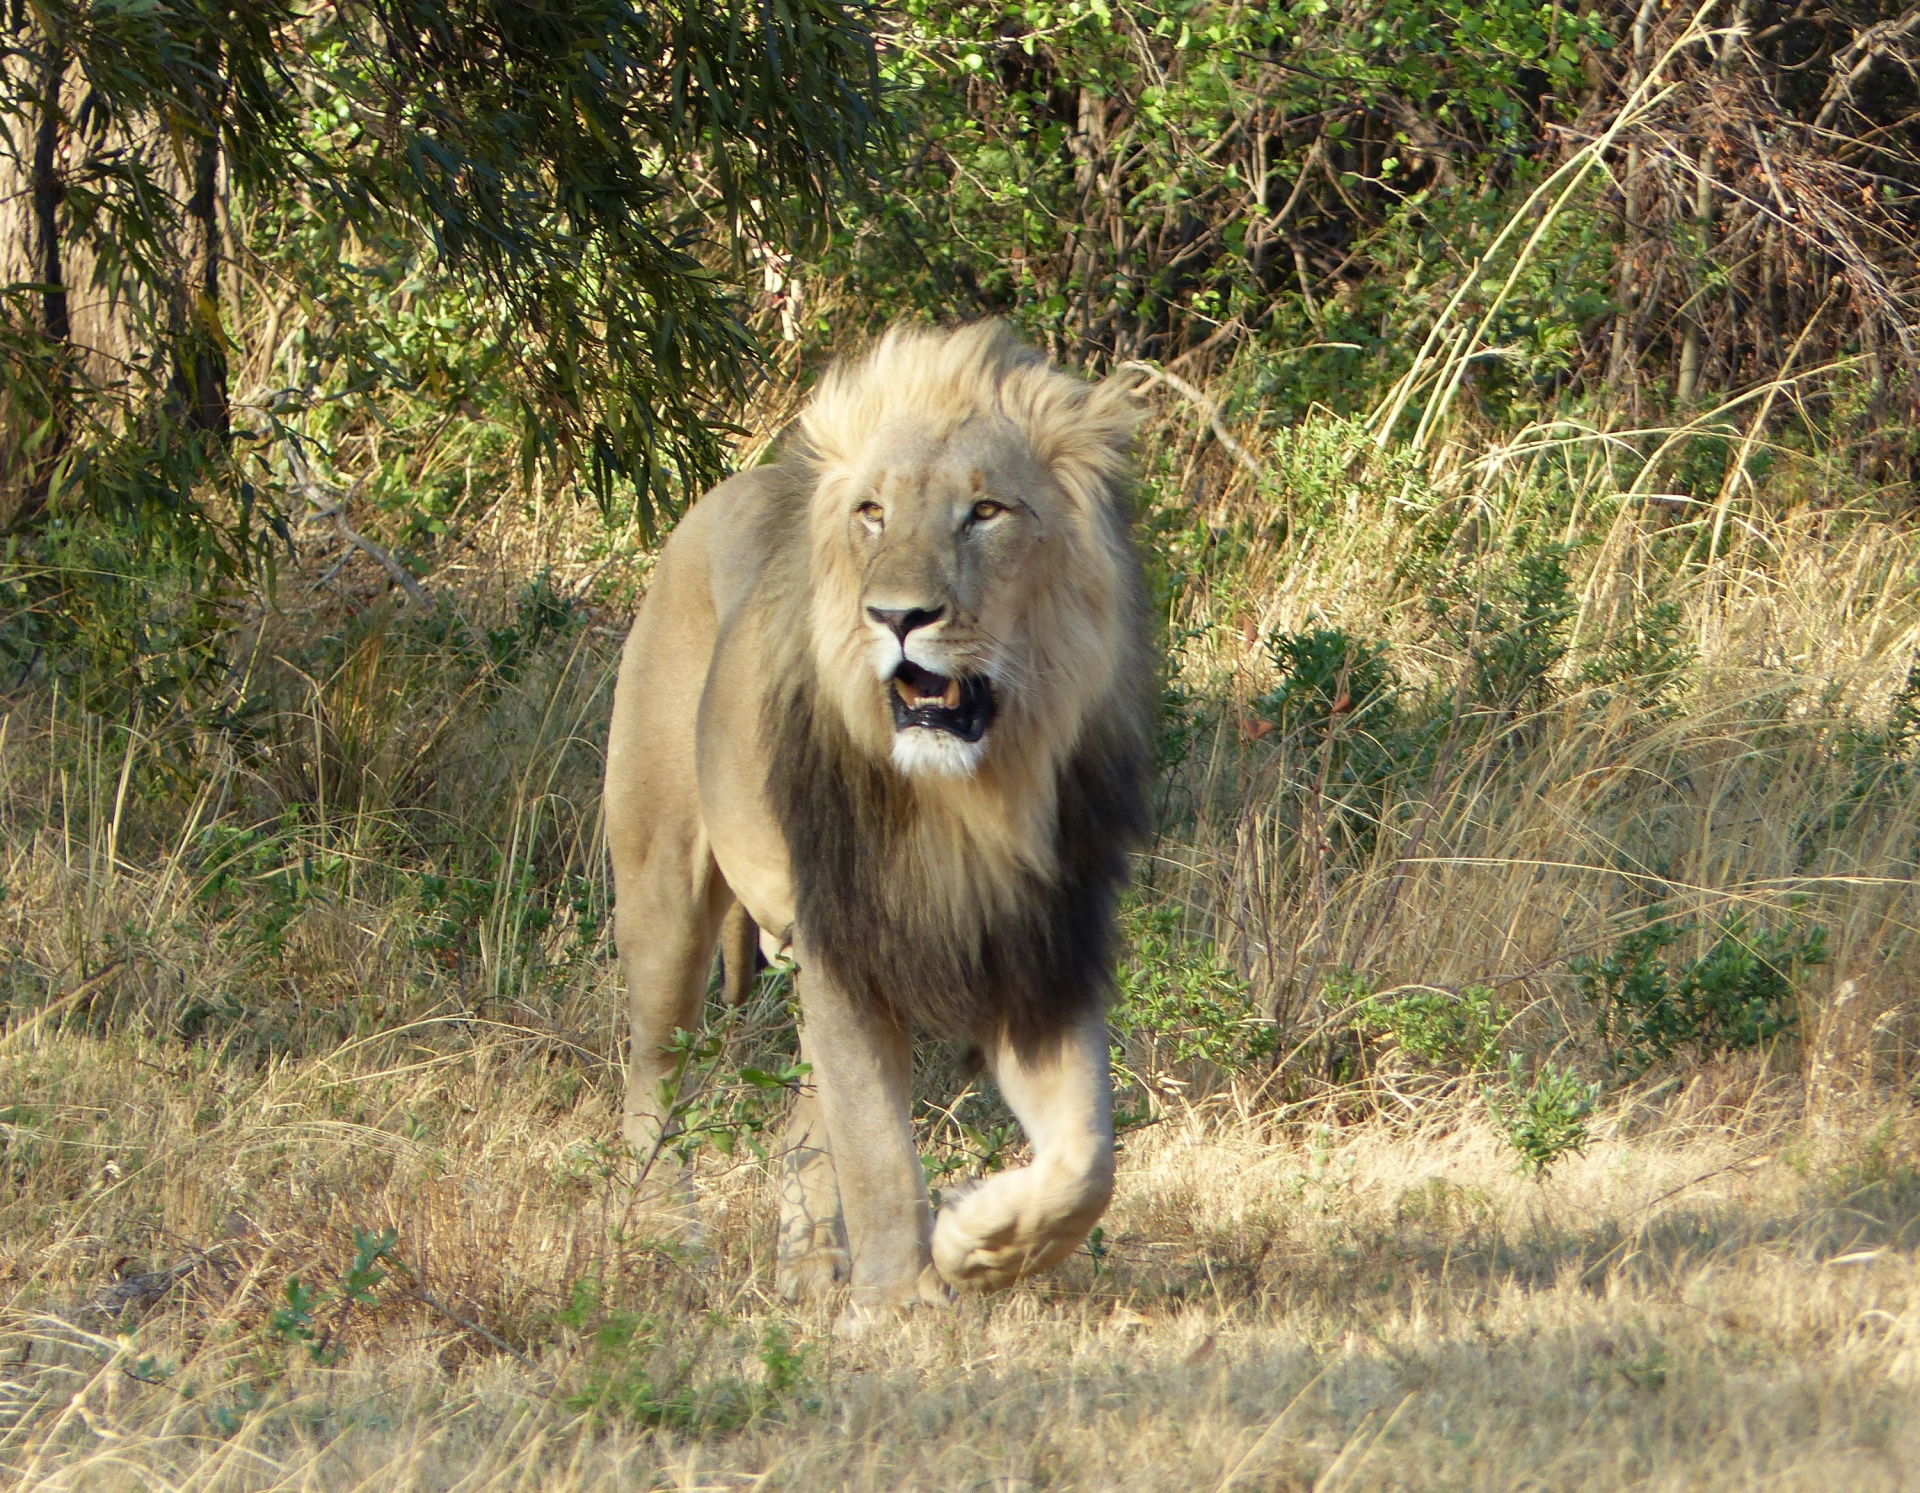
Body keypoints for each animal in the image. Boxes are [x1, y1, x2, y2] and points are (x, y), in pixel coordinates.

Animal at [606, 316, 1144, 1312]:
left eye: (985, 511)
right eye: (872, 514)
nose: (897, 616)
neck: (963, 800)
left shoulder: (1037, 946)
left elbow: (1088, 1157)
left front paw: (981, 1241)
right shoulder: (840, 937)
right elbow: (877, 1149)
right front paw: (900, 1302)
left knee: (800, 1115)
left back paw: (809, 1261)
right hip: (664, 891)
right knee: (652, 1078)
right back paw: (663, 1236)